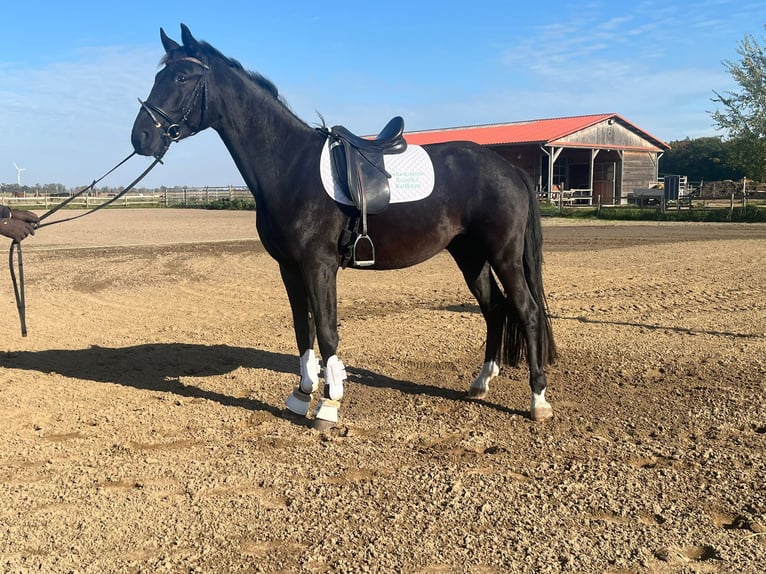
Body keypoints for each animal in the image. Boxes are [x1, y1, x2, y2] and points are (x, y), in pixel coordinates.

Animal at [132, 24, 560, 430]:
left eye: (182, 76)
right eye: (158, 76)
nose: (142, 137)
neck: (290, 166)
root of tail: (510, 169)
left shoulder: (319, 265)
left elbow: (326, 330)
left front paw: (328, 406)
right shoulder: (290, 268)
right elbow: (302, 330)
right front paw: (302, 395)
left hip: (503, 255)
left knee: (526, 310)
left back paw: (538, 401)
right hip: (470, 254)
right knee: (494, 308)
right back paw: (480, 383)